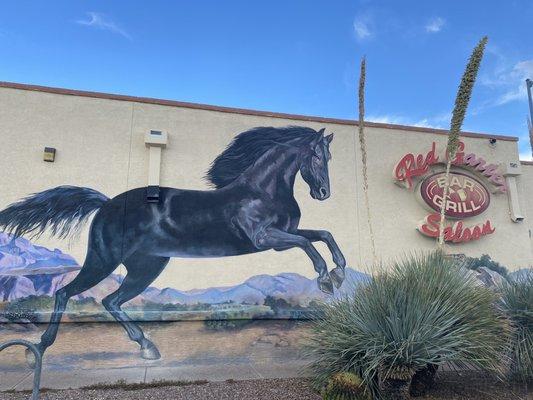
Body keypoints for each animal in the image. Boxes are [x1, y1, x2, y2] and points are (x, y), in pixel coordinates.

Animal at [0, 126, 348, 360]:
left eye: (330, 156)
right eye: (315, 155)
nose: (323, 193)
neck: (262, 191)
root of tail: (106, 204)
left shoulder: (281, 237)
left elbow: (323, 235)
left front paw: (339, 272)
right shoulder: (265, 238)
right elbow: (308, 245)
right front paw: (326, 279)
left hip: (146, 267)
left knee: (111, 301)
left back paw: (147, 347)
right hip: (103, 260)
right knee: (66, 293)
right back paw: (39, 348)